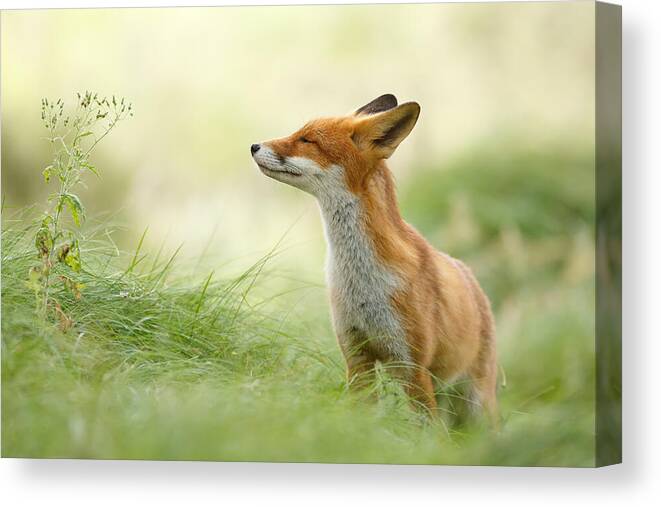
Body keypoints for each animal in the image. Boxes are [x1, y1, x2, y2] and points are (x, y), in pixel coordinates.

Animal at [251, 93, 496, 422]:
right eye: (299, 133)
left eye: (307, 140)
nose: (254, 146)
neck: (362, 280)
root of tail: (473, 280)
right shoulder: (356, 355)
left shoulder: (412, 366)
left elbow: (427, 429)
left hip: (477, 402)